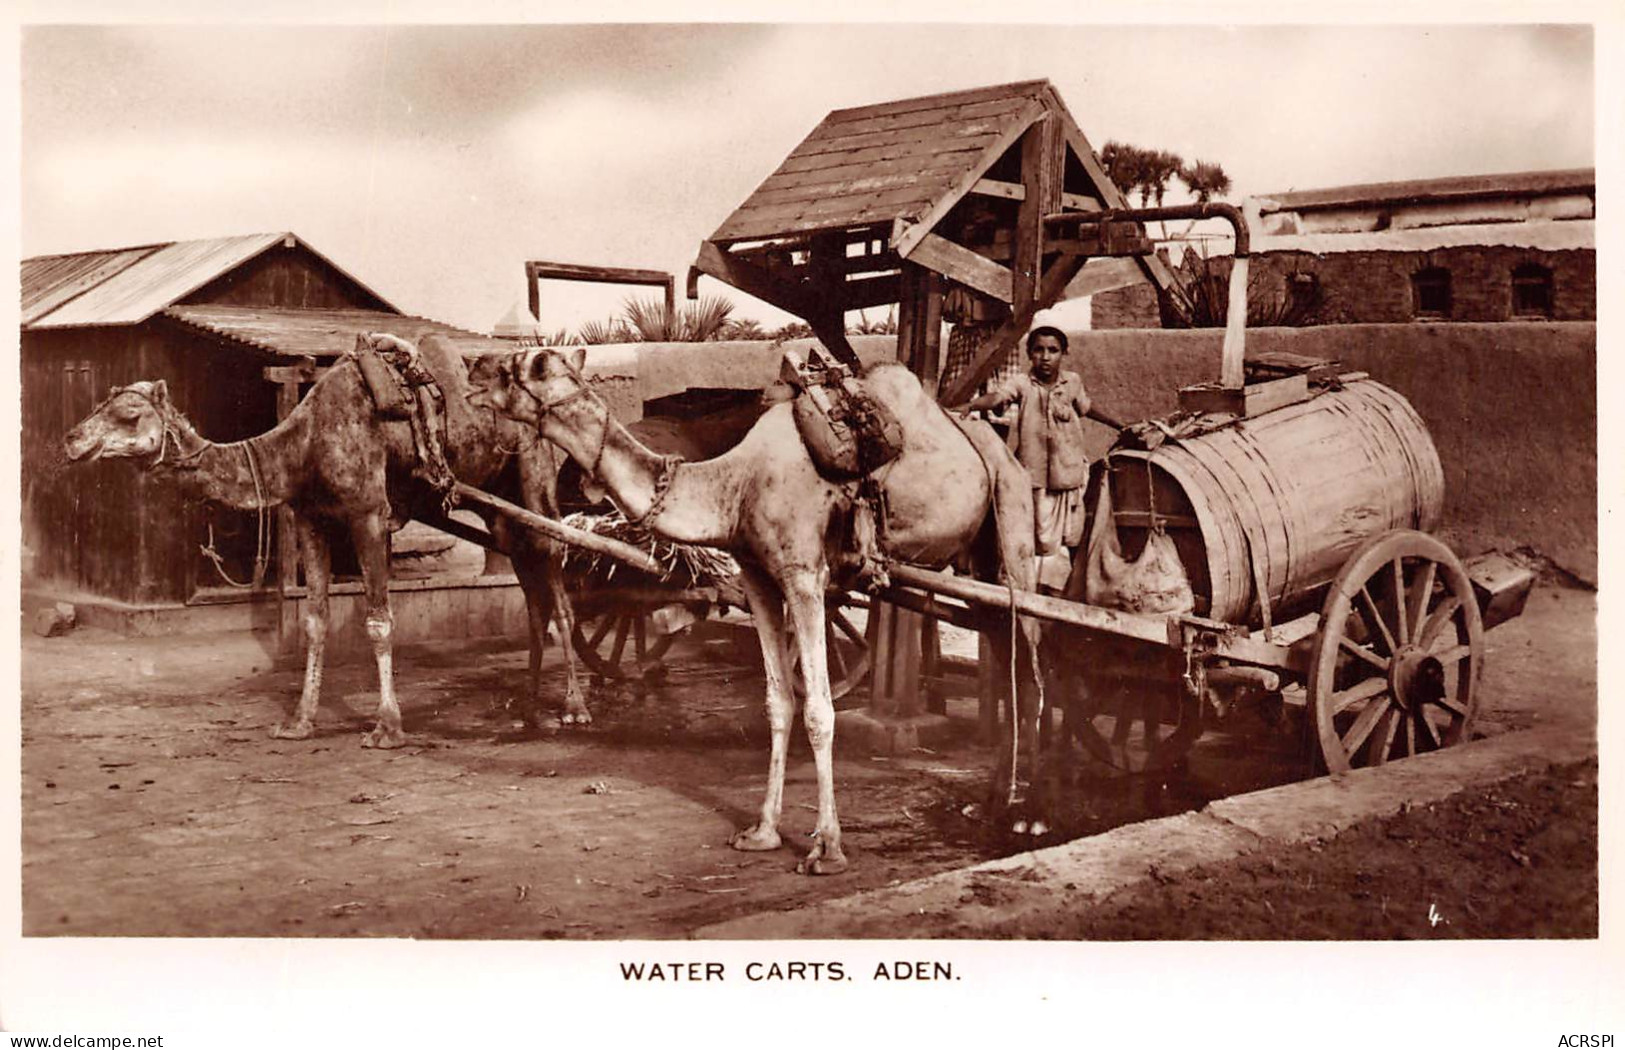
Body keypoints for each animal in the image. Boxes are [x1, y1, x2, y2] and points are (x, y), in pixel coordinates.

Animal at [68, 333, 598, 754]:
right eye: (98, 405)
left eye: (129, 414)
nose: (72, 439)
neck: (303, 445)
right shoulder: (311, 520)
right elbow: (315, 621)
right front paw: (300, 721)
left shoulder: (369, 514)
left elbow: (379, 622)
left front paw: (387, 726)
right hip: (500, 507)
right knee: (530, 586)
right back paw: (527, 707)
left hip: (535, 477)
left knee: (558, 582)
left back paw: (574, 708)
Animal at [464, 347, 1040, 877]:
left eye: (521, 367)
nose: (472, 367)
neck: (736, 482)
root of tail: (1004, 451)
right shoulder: (760, 579)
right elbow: (778, 703)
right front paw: (762, 831)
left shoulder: (805, 577)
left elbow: (819, 710)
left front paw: (826, 848)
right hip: (977, 562)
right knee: (1004, 650)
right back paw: (992, 802)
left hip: (1014, 529)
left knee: (1030, 661)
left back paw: (1027, 814)